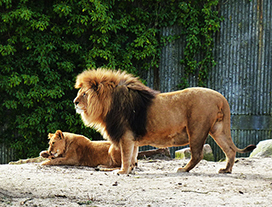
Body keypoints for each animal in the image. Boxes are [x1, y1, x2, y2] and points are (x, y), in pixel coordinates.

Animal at [73, 68, 256, 174]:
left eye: (84, 94)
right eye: (79, 93)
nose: (74, 102)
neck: (109, 104)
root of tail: (221, 97)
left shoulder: (126, 136)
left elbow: (125, 156)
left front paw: (122, 172)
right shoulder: (133, 138)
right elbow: (133, 156)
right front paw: (130, 170)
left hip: (196, 129)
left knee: (197, 154)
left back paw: (183, 169)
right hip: (218, 129)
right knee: (230, 150)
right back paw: (226, 170)